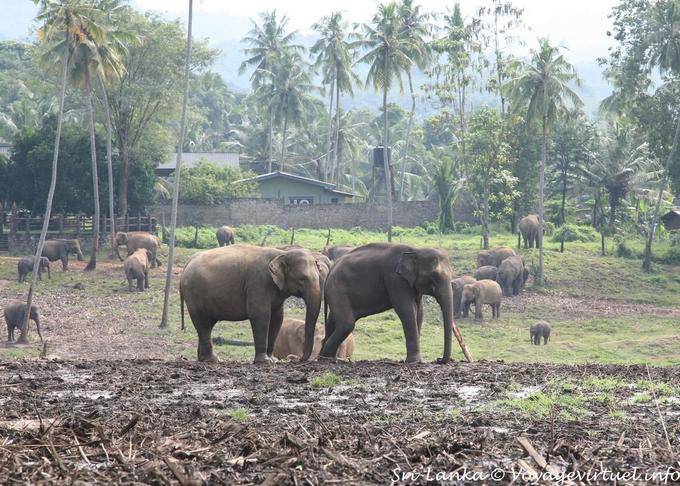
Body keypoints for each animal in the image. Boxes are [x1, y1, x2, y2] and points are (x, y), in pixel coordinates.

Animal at [180, 245, 322, 363]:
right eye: (302, 279)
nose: (297, 360)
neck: (281, 253)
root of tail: (188, 262)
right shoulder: (258, 283)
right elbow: (261, 315)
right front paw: (265, 362)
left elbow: (277, 318)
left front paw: (273, 360)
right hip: (194, 295)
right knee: (203, 324)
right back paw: (212, 360)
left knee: (207, 325)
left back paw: (204, 359)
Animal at [320, 243, 457, 364]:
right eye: (434, 275)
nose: (439, 359)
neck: (416, 249)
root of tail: (331, 269)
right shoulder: (395, 279)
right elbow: (406, 309)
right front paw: (415, 362)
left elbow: (419, 312)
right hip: (337, 290)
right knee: (347, 324)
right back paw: (329, 358)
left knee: (333, 320)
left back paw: (324, 356)